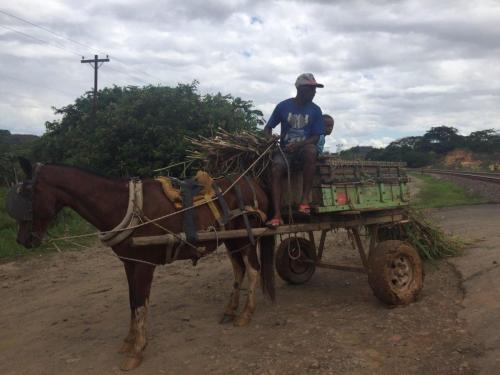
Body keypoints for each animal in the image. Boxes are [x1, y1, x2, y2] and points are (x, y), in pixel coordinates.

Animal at [5, 158, 276, 370]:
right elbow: (131, 300)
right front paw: (129, 340)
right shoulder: (130, 263)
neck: (124, 205)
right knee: (239, 269)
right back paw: (230, 310)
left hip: (246, 235)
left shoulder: (145, 263)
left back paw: (246, 313)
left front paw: (137, 350)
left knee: (253, 269)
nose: (22, 240)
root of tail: (254, 183)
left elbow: (139, 303)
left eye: (26, 194)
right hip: (231, 239)